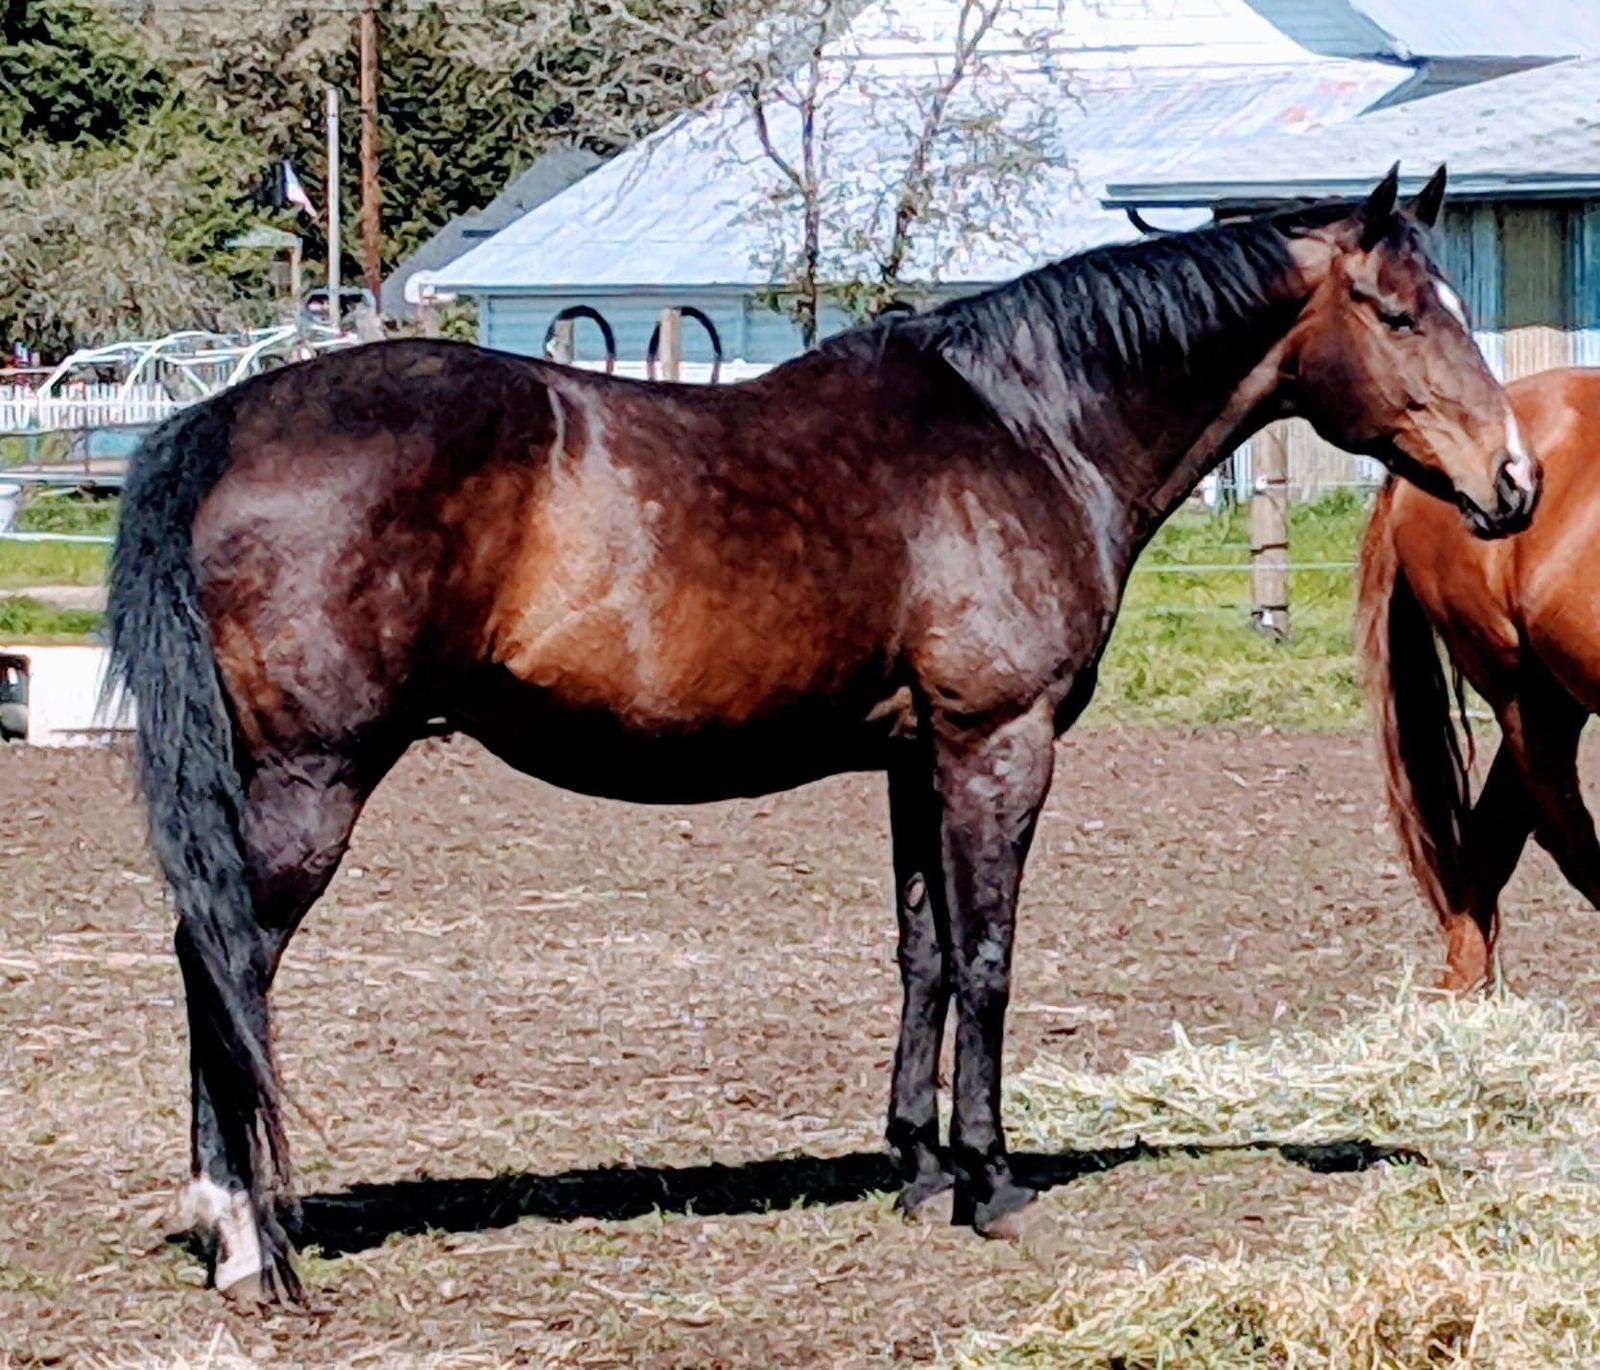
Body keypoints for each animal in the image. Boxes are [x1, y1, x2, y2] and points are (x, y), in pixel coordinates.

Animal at [107, 165, 1536, 1303]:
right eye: (1401, 311)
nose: (1513, 481)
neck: (1028, 427)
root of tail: (222, 418)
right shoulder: (997, 743)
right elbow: (988, 960)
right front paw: (992, 1179)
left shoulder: (916, 756)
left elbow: (921, 954)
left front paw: (916, 1166)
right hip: (313, 781)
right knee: (228, 958)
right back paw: (250, 1238)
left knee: (205, 955)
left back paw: (222, 1215)